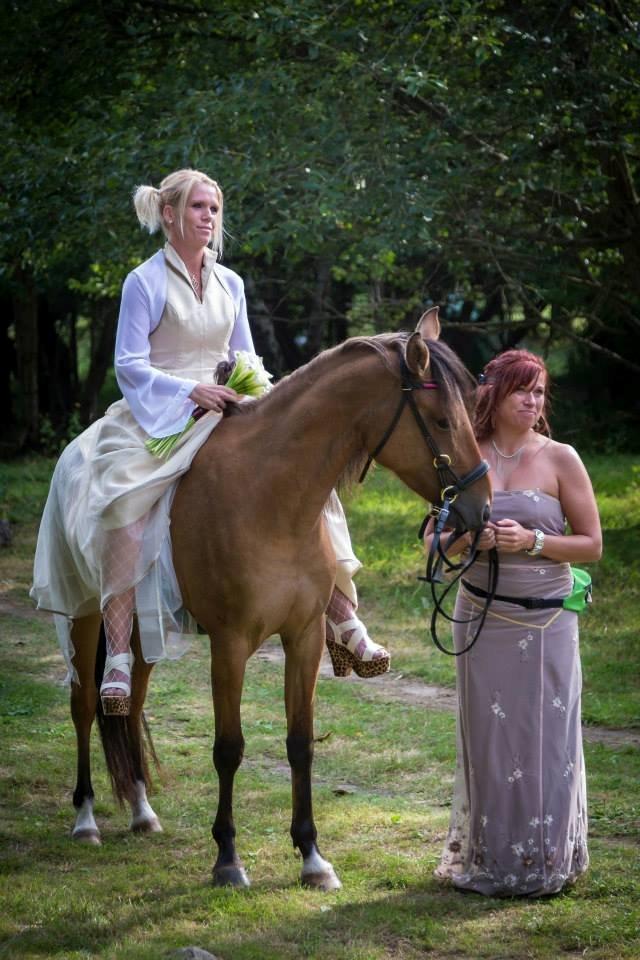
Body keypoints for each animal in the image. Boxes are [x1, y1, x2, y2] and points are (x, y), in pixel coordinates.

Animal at [67, 308, 491, 890]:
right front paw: (227, 858)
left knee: (128, 703)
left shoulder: (304, 638)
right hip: (86, 615)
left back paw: (141, 810)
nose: (482, 509)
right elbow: (229, 748)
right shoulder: (229, 645)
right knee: (86, 704)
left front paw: (312, 856)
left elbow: (300, 743)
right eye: (442, 420)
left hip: (142, 629)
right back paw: (85, 818)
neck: (268, 497)